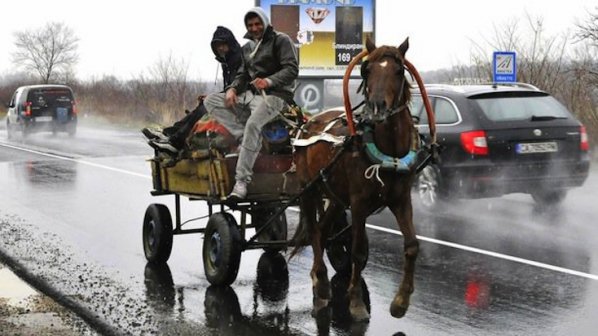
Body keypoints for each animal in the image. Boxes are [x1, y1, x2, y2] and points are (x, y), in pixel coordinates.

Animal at [292, 35, 424, 322]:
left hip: (335, 197)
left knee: (322, 230)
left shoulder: (401, 199)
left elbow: (411, 245)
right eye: (367, 70)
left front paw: (401, 301)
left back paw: (320, 281)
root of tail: (307, 123)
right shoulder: (359, 203)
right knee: (313, 230)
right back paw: (321, 284)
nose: (377, 107)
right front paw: (356, 303)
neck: (389, 151)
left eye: (399, 70)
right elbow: (358, 250)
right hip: (308, 189)